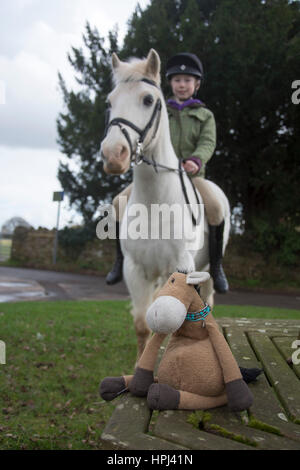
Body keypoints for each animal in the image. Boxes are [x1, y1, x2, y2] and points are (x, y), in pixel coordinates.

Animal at [101, 48, 230, 356]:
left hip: (208, 270)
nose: (113, 155)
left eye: (148, 100)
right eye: (110, 102)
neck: (155, 203)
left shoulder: (183, 268)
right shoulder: (135, 270)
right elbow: (142, 325)